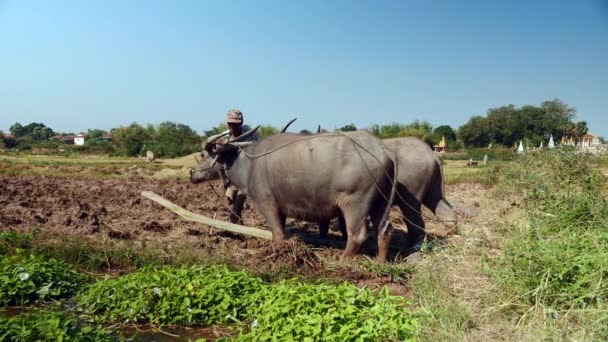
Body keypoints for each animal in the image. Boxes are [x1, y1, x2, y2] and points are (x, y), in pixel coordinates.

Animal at [197, 127, 400, 260]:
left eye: (203, 155)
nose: (192, 173)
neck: (248, 164)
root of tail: (382, 151)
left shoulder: (266, 203)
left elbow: (277, 233)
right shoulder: (281, 209)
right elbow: (280, 230)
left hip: (355, 204)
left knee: (357, 234)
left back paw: (342, 260)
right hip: (381, 202)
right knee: (385, 229)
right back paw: (380, 262)